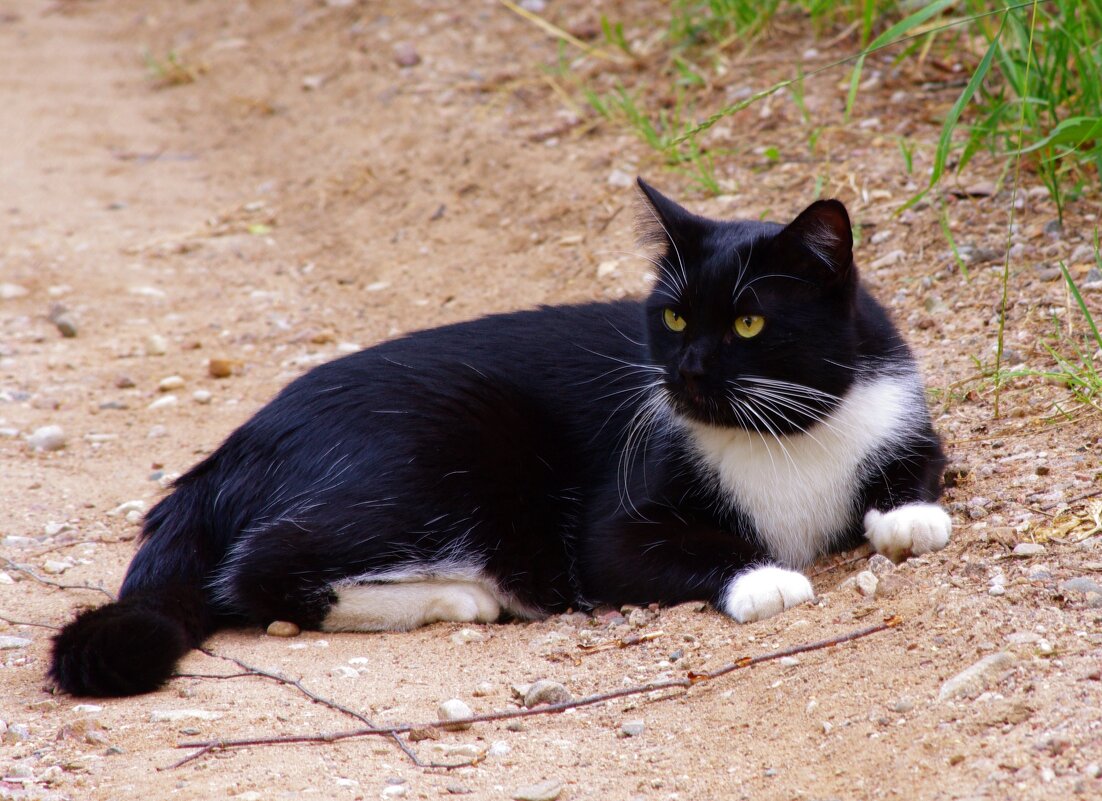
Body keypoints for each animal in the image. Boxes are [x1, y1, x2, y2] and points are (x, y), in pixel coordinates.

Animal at [49, 180, 947, 696]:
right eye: (674, 317)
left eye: (752, 322)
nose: (687, 370)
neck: (784, 431)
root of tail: (230, 451)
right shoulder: (614, 521)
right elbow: (661, 548)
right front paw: (764, 577)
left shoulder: (897, 404)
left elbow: (922, 465)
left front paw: (910, 516)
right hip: (441, 442)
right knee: (258, 567)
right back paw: (460, 593)